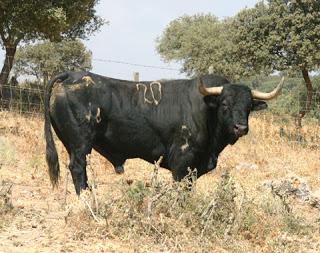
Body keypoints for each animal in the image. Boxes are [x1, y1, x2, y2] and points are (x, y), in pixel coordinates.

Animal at [44, 72, 282, 195]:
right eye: (224, 104)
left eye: (249, 106)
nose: (241, 128)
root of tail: (72, 75)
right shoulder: (181, 160)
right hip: (80, 143)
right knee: (77, 167)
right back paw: (84, 196)